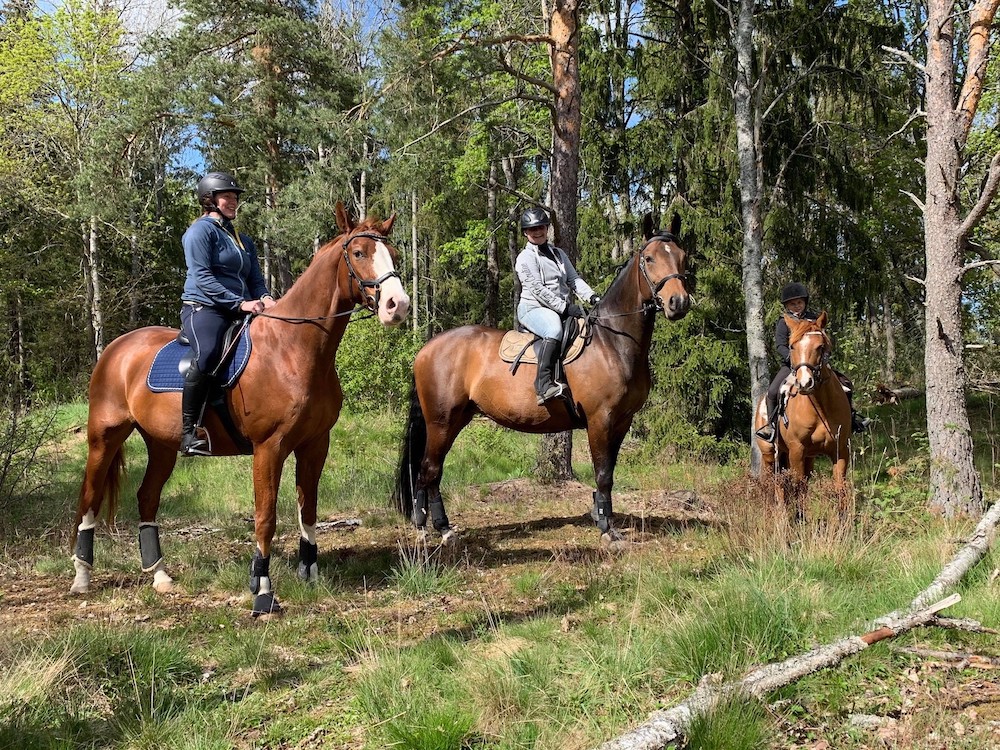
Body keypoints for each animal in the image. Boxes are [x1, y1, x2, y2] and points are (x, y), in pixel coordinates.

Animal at [71, 201, 410, 616]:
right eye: (359, 253)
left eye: (393, 255)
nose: (398, 306)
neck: (292, 348)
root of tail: (116, 349)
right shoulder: (269, 448)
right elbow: (266, 518)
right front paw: (262, 591)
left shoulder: (315, 445)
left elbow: (309, 510)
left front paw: (310, 574)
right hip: (103, 437)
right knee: (89, 498)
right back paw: (82, 576)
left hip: (162, 445)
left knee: (146, 498)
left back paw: (160, 576)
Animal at [394, 217, 692, 548]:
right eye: (649, 258)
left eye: (682, 256)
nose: (678, 302)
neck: (611, 342)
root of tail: (427, 349)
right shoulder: (600, 419)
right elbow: (603, 474)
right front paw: (607, 529)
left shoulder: (622, 421)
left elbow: (610, 472)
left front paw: (601, 516)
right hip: (441, 421)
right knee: (428, 469)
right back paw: (432, 528)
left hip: (456, 419)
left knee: (430, 470)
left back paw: (435, 526)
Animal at [756, 312, 852, 516]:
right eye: (792, 346)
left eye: (820, 346)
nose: (805, 383)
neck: (820, 409)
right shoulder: (796, 450)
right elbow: (797, 486)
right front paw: (799, 518)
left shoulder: (840, 450)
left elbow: (839, 486)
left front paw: (843, 520)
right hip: (770, 454)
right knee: (773, 483)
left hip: (806, 456)